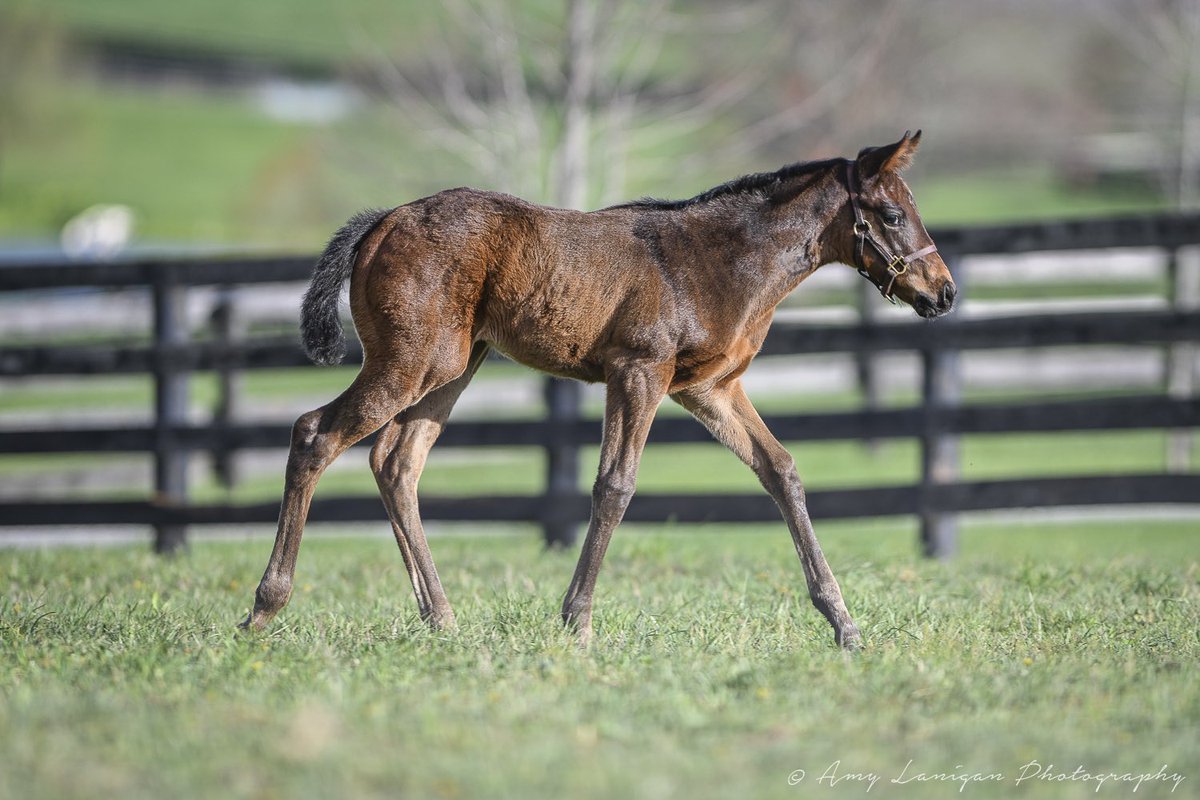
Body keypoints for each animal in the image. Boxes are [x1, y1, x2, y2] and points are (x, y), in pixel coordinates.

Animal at [240, 130, 955, 650]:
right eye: (893, 214)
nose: (944, 293)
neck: (721, 260)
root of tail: (384, 220)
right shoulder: (638, 371)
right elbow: (615, 484)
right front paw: (576, 622)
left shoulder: (711, 388)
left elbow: (781, 471)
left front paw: (844, 624)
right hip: (409, 363)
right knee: (315, 434)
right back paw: (264, 610)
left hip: (452, 368)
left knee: (396, 463)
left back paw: (441, 620)